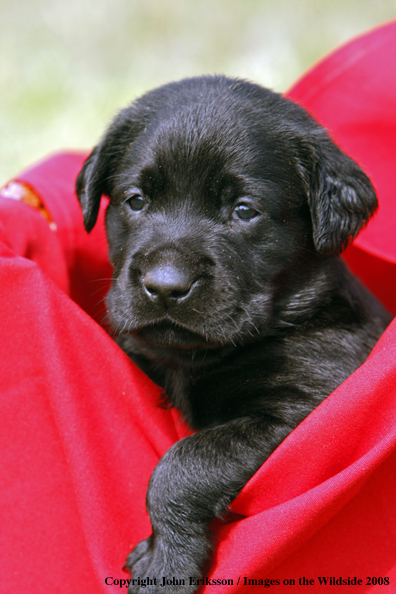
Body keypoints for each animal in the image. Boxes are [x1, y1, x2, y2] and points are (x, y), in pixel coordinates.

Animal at [76, 76, 392, 588]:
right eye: (136, 201)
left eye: (244, 211)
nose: (165, 286)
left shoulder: (305, 413)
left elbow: (186, 461)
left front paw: (166, 562)